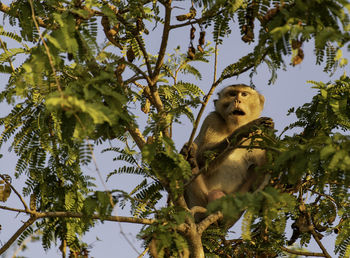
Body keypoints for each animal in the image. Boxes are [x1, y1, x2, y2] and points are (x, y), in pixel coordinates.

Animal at [183, 83, 274, 213]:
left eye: (244, 94)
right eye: (232, 94)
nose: (237, 100)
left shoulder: (261, 136)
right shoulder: (212, 119)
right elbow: (202, 158)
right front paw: (244, 129)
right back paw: (190, 157)